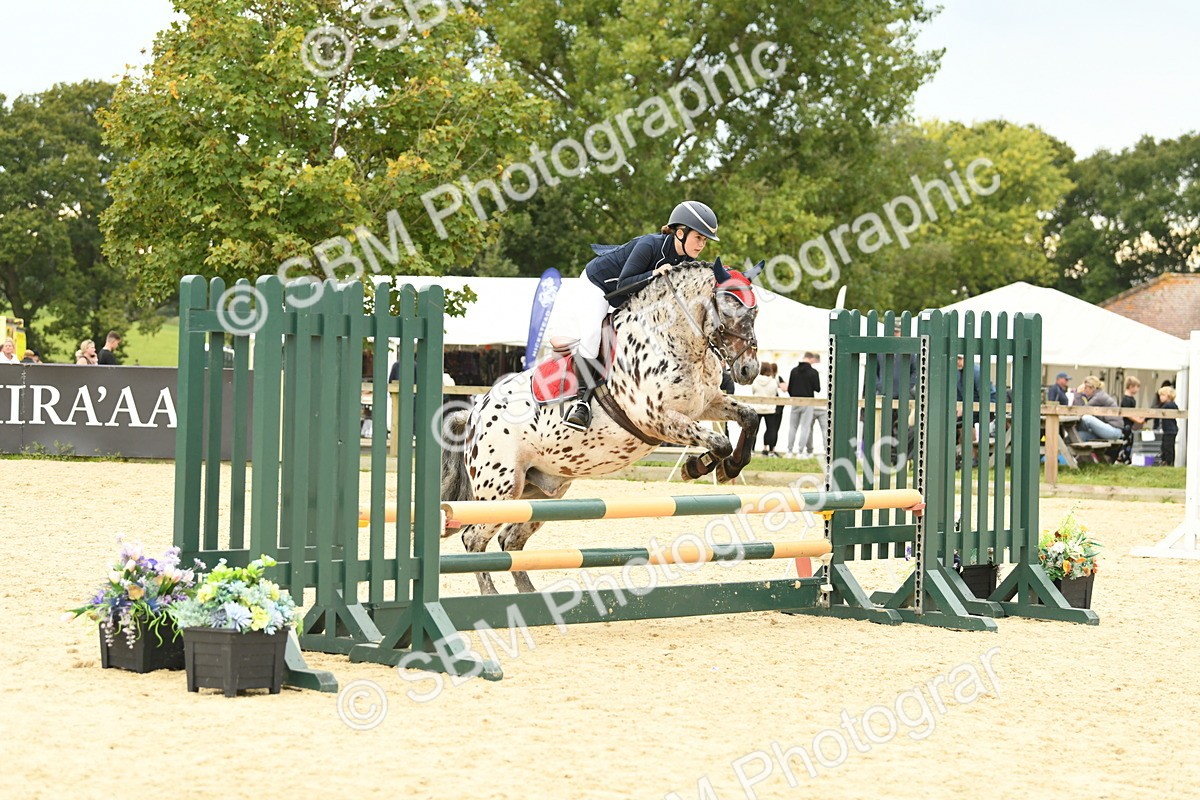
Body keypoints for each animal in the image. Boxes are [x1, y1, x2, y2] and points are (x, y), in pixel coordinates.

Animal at [440, 260, 764, 594]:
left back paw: (529, 597)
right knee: (473, 539)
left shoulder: (708, 402)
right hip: (500, 489)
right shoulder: (658, 419)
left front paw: (729, 467)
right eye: (729, 309)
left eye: (755, 313)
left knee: (510, 541)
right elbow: (719, 442)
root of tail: (474, 413)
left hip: (541, 491)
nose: (748, 370)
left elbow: (749, 418)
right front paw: (696, 467)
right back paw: (492, 596)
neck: (675, 341)